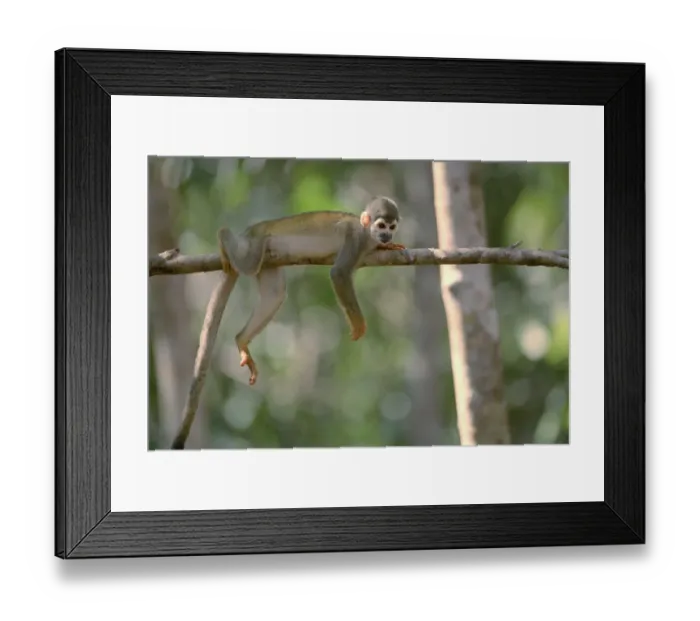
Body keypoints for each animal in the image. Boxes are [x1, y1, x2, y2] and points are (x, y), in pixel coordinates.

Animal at [170, 196, 404, 449]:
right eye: (381, 225)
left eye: (392, 227)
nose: (386, 236)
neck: (367, 236)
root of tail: (248, 232)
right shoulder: (355, 239)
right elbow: (339, 273)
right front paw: (358, 324)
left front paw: (389, 247)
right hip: (252, 242)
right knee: (249, 264)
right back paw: (224, 238)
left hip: (269, 261)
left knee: (275, 292)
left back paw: (242, 339)